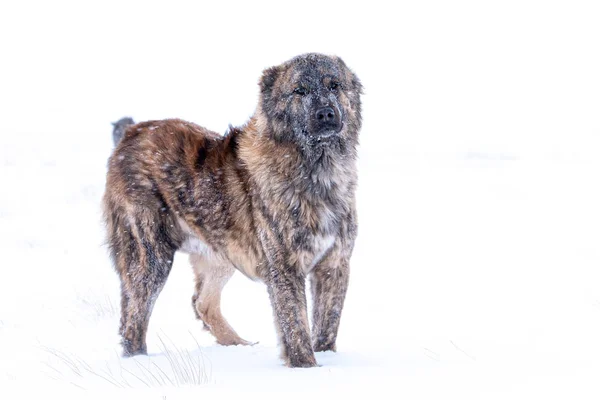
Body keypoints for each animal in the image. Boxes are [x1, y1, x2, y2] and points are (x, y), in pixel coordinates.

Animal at [104, 53, 360, 368]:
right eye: (299, 91)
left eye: (334, 85)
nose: (325, 113)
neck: (318, 170)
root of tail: (133, 132)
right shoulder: (285, 267)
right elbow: (296, 326)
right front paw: (307, 368)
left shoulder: (335, 264)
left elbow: (327, 323)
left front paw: (326, 359)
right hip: (150, 255)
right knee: (133, 319)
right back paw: (139, 361)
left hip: (221, 251)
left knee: (202, 303)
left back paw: (238, 345)